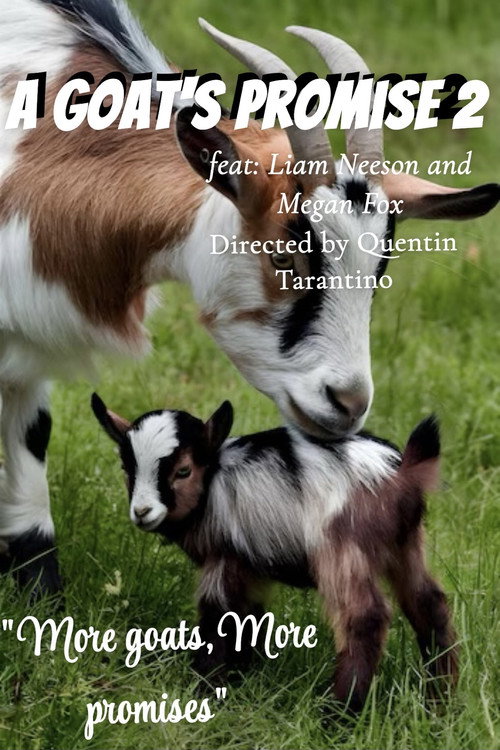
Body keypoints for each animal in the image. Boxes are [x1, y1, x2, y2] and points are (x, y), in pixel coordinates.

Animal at [91, 393, 458, 712]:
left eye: (183, 471)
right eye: (127, 469)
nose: (142, 512)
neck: (212, 485)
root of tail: (402, 472)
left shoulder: (224, 557)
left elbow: (217, 616)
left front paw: (205, 688)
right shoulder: (249, 566)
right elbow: (247, 619)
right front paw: (239, 677)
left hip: (342, 549)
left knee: (365, 617)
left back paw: (338, 715)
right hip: (405, 545)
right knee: (428, 603)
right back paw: (440, 702)